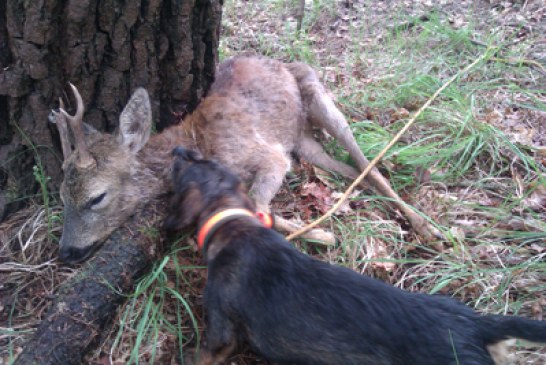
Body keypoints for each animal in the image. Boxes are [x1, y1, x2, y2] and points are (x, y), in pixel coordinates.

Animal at [47, 55, 438, 264]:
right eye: (63, 196)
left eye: (97, 197)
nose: (66, 252)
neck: (196, 143)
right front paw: (324, 233)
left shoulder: (267, 154)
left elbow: (259, 206)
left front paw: (322, 235)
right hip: (302, 141)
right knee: (347, 166)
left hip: (317, 94)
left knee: (364, 158)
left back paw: (429, 229)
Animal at [164, 146, 544, 364]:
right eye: (206, 159)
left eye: (186, 166)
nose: (178, 147)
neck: (233, 223)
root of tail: (479, 325)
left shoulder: (220, 337)